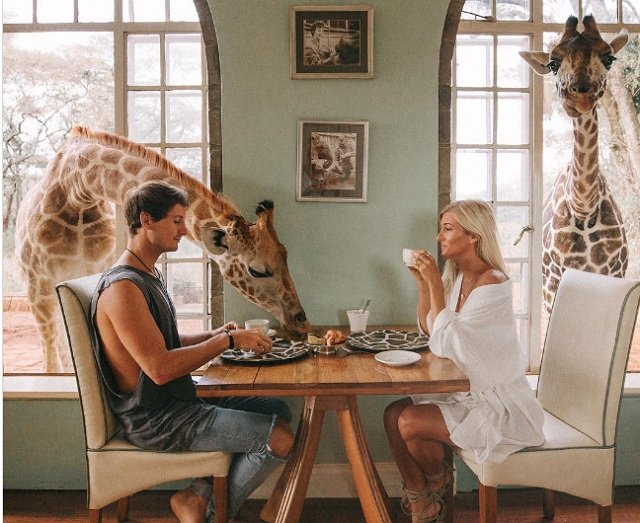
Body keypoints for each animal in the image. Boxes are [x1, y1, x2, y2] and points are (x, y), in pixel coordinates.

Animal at [15, 125, 311, 372]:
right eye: (257, 270)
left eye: (286, 256)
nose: (302, 322)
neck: (77, 189)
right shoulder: (37, 281)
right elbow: (50, 354)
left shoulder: (95, 267)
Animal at [519, 15, 629, 313]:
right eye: (553, 64)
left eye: (609, 58)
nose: (578, 98)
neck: (583, 207)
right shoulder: (552, 283)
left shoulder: (613, 276)